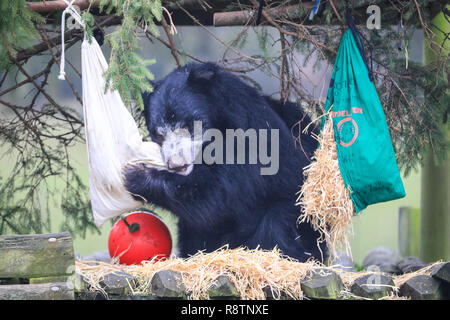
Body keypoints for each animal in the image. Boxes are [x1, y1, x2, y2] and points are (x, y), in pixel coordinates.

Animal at [124, 62, 326, 262]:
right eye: (159, 134)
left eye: (188, 126)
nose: (177, 165)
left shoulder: (253, 139)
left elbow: (217, 198)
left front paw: (137, 175)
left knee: (277, 223)